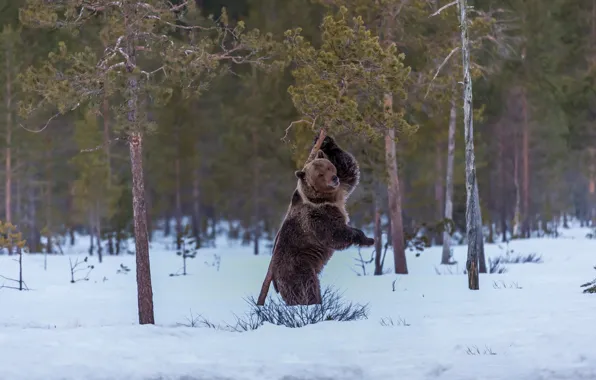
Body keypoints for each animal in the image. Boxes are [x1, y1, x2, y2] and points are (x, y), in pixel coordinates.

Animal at [268, 134, 372, 306]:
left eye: (329, 167)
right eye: (320, 174)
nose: (334, 178)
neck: (324, 198)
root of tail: (274, 278)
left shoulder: (341, 190)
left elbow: (348, 166)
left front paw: (324, 141)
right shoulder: (316, 217)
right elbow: (334, 234)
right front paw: (366, 238)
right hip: (296, 265)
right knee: (304, 286)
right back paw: (312, 303)